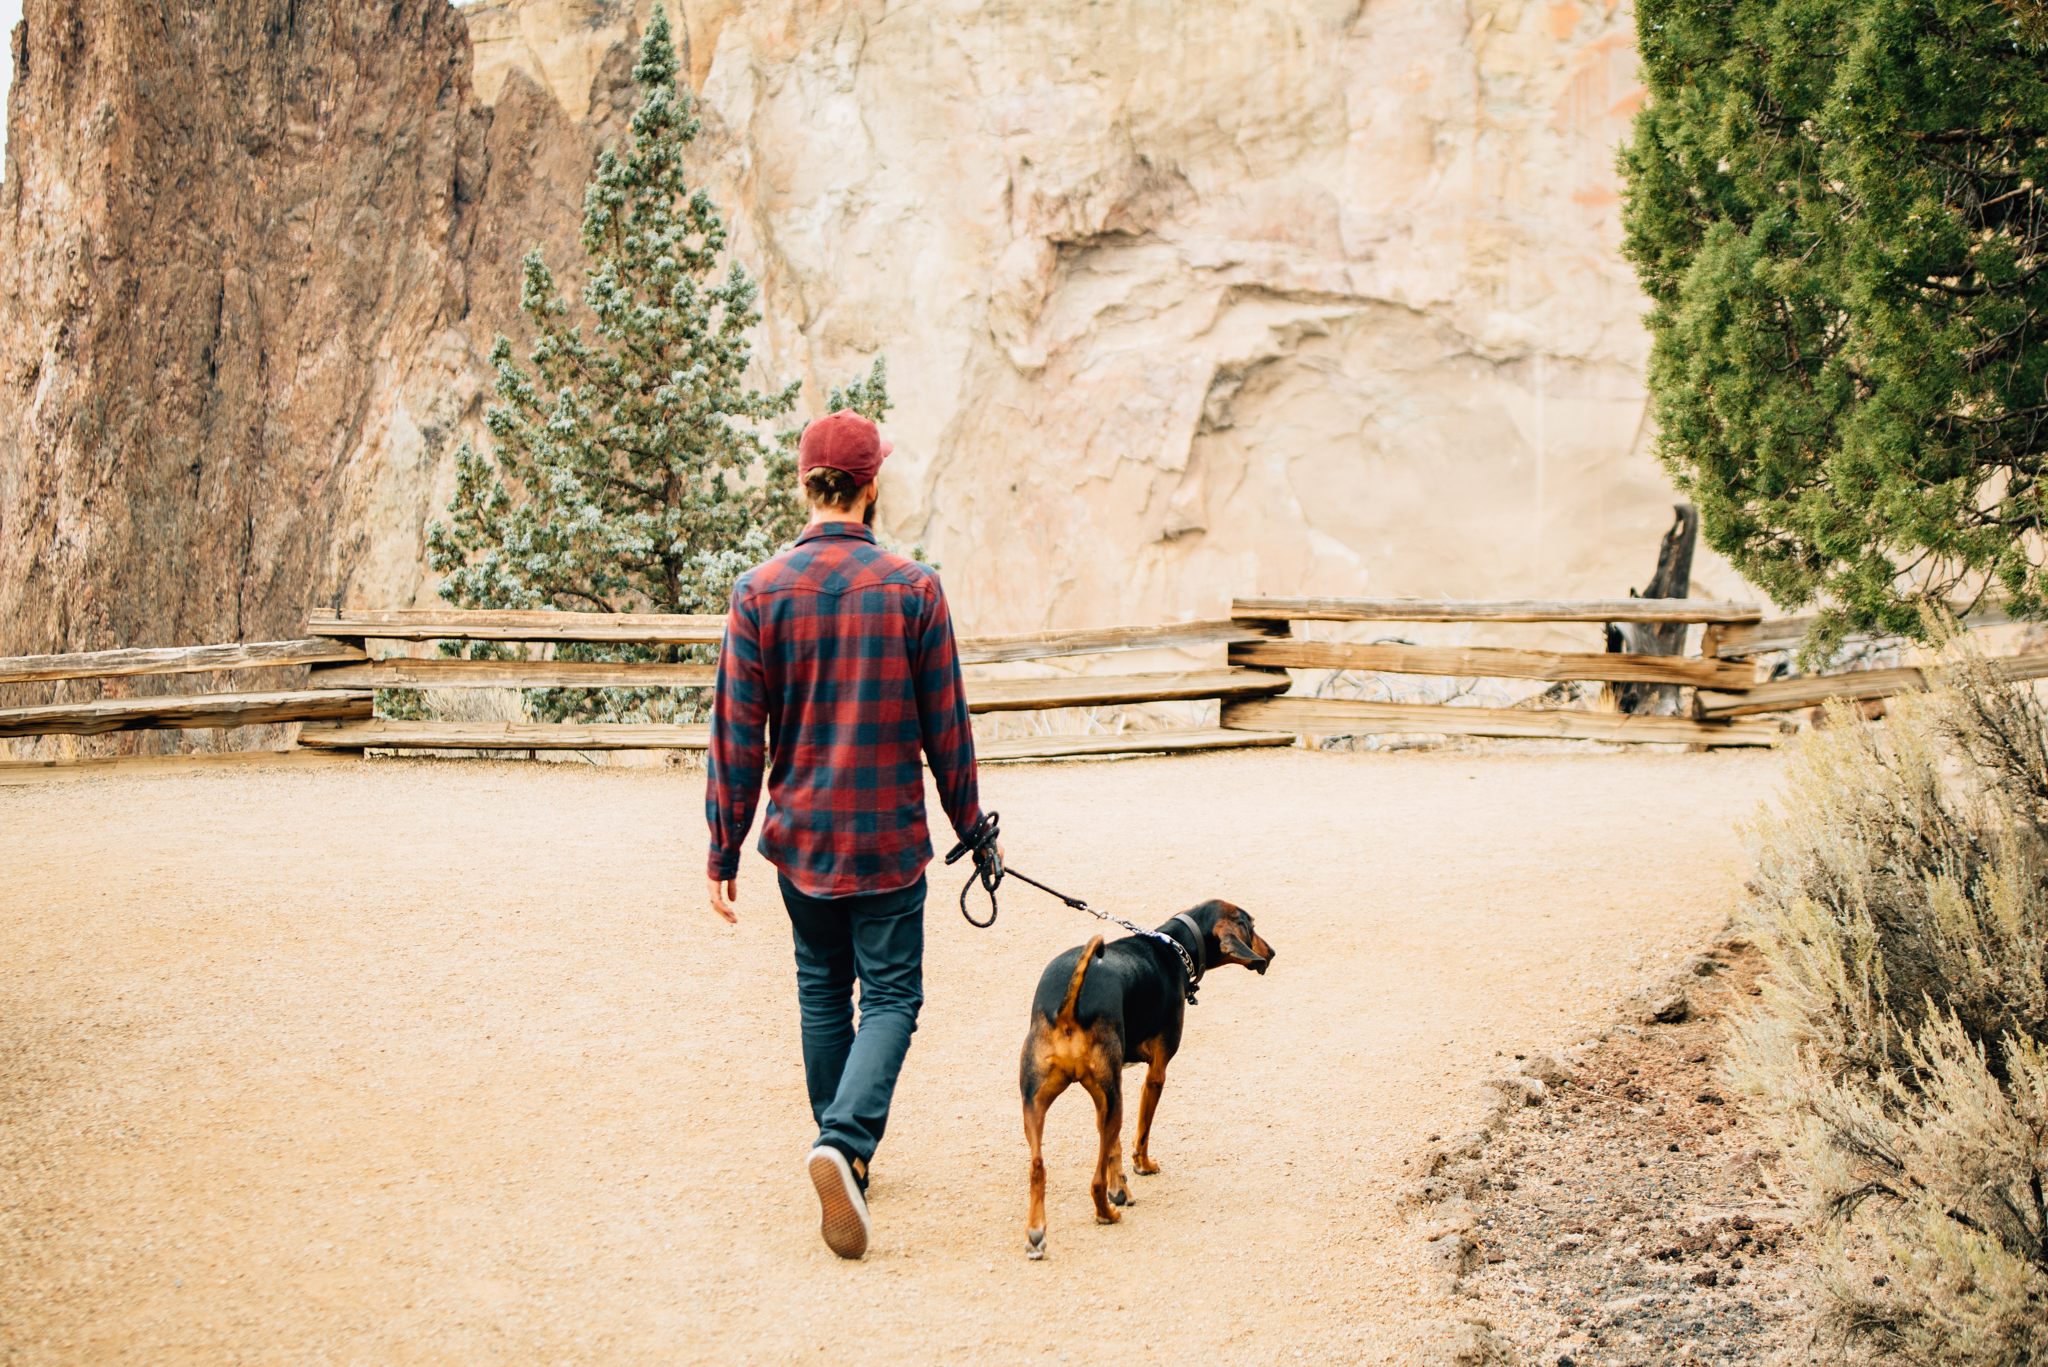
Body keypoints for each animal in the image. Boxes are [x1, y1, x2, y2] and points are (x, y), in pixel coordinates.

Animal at [1015, 897, 1269, 1262]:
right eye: (1252, 926)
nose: (1271, 953)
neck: (1174, 945)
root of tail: (1067, 1009)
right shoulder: (1155, 1074)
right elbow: (1141, 1133)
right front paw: (1142, 1167)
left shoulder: (1111, 1089)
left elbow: (1113, 1148)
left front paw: (1120, 1184)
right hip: (1110, 1101)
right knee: (1094, 1182)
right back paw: (1106, 1214)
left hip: (1042, 1103)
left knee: (1038, 1168)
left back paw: (1037, 1233)